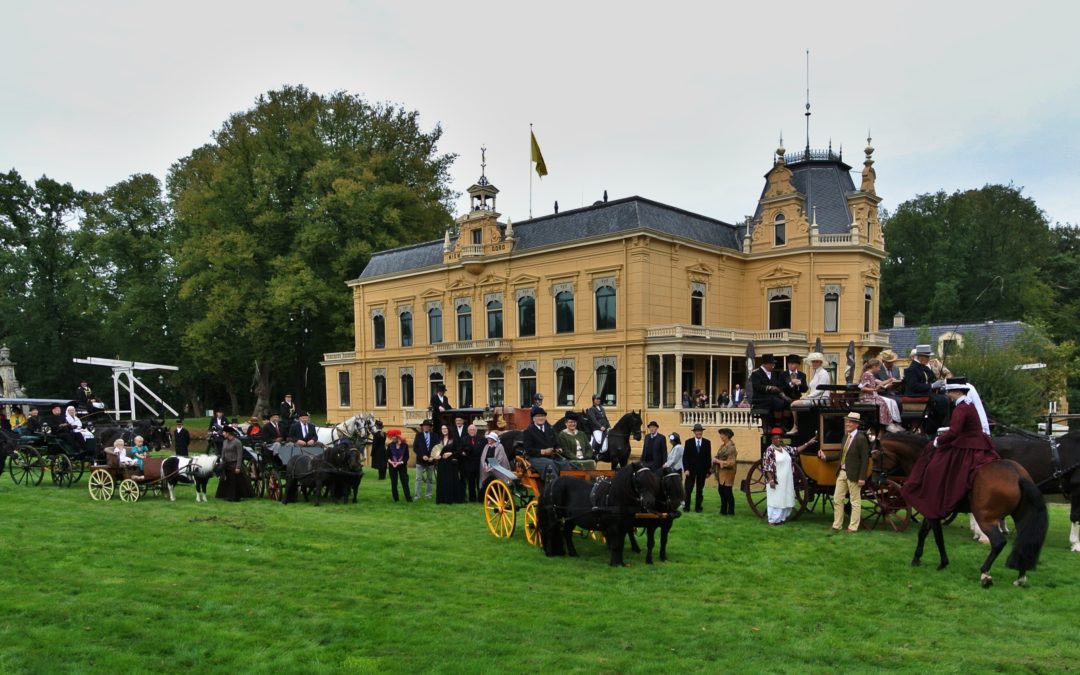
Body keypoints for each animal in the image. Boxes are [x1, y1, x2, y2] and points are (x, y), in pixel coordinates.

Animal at [876, 434, 1045, 587]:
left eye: (876, 455)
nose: (877, 480)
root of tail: (1018, 475)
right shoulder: (930, 511)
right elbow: (923, 533)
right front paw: (917, 558)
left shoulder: (932, 510)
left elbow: (937, 537)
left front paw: (942, 563)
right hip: (1021, 517)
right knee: (1024, 542)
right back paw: (1021, 577)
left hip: (985, 517)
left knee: (998, 542)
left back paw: (985, 574)